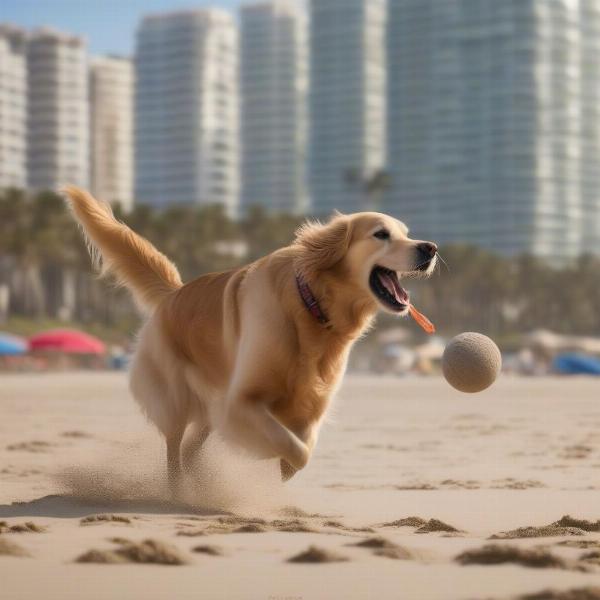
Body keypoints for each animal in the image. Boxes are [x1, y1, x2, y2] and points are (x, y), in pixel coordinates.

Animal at [63, 186, 436, 488]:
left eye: (406, 233)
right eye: (381, 234)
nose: (430, 247)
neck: (311, 308)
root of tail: (174, 293)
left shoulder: (311, 403)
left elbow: (306, 445)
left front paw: (283, 471)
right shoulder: (241, 402)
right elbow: (294, 447)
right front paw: (278, 466)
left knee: (190, 447)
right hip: (175, 398)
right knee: (173, 445)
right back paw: (178, 489)